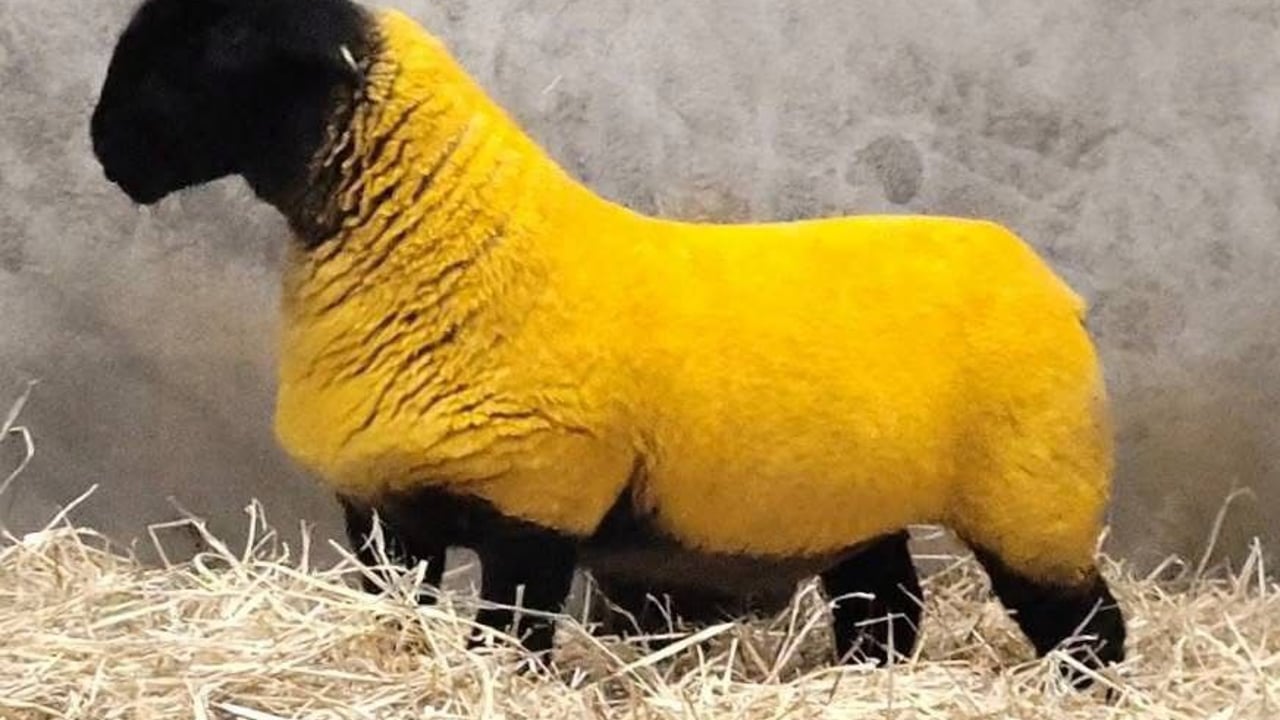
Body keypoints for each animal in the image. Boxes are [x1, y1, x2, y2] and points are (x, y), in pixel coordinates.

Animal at [90, 0, 1126, 686]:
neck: (449, 240)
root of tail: (1044, 277)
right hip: (861, 501)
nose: (102, 148)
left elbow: (508, 640)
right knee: (886, 609)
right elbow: (400, 615)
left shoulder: (539, 502)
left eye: (205, 49)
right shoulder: (385, 510)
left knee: (1090, 622)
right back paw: (864, 689)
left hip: (1034, 494)